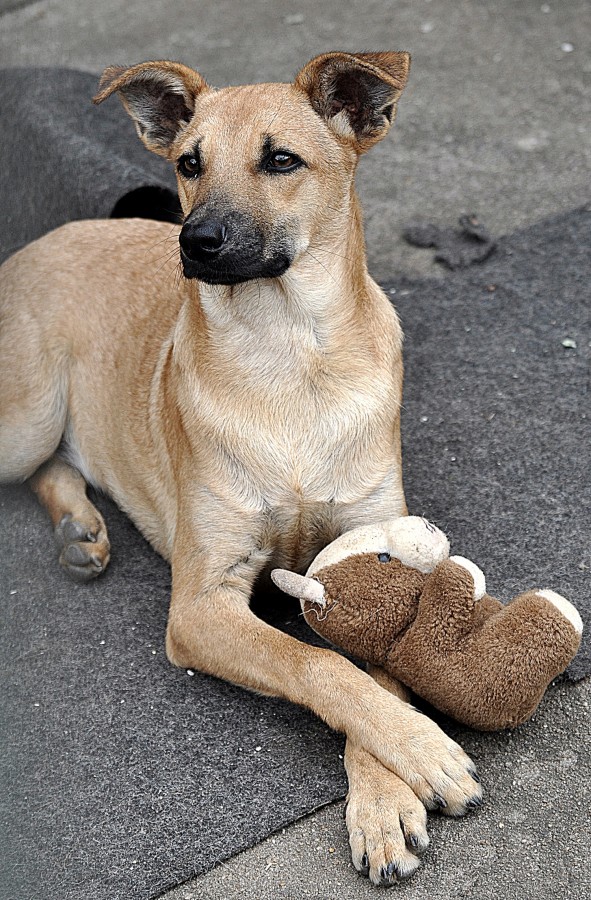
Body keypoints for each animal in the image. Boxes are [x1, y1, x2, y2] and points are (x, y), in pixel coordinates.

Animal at [0, 54, 480, 884]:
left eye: (281, 160)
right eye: (189, 163)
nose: (195, 240)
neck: (289, 360)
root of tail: (41, 239)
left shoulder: (381, 550)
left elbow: (374, 666)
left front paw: (383, 796)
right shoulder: (201, 605)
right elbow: (319, 667)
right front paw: (421, 752)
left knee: (59, 468)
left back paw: (80, 529)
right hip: (23, 419)